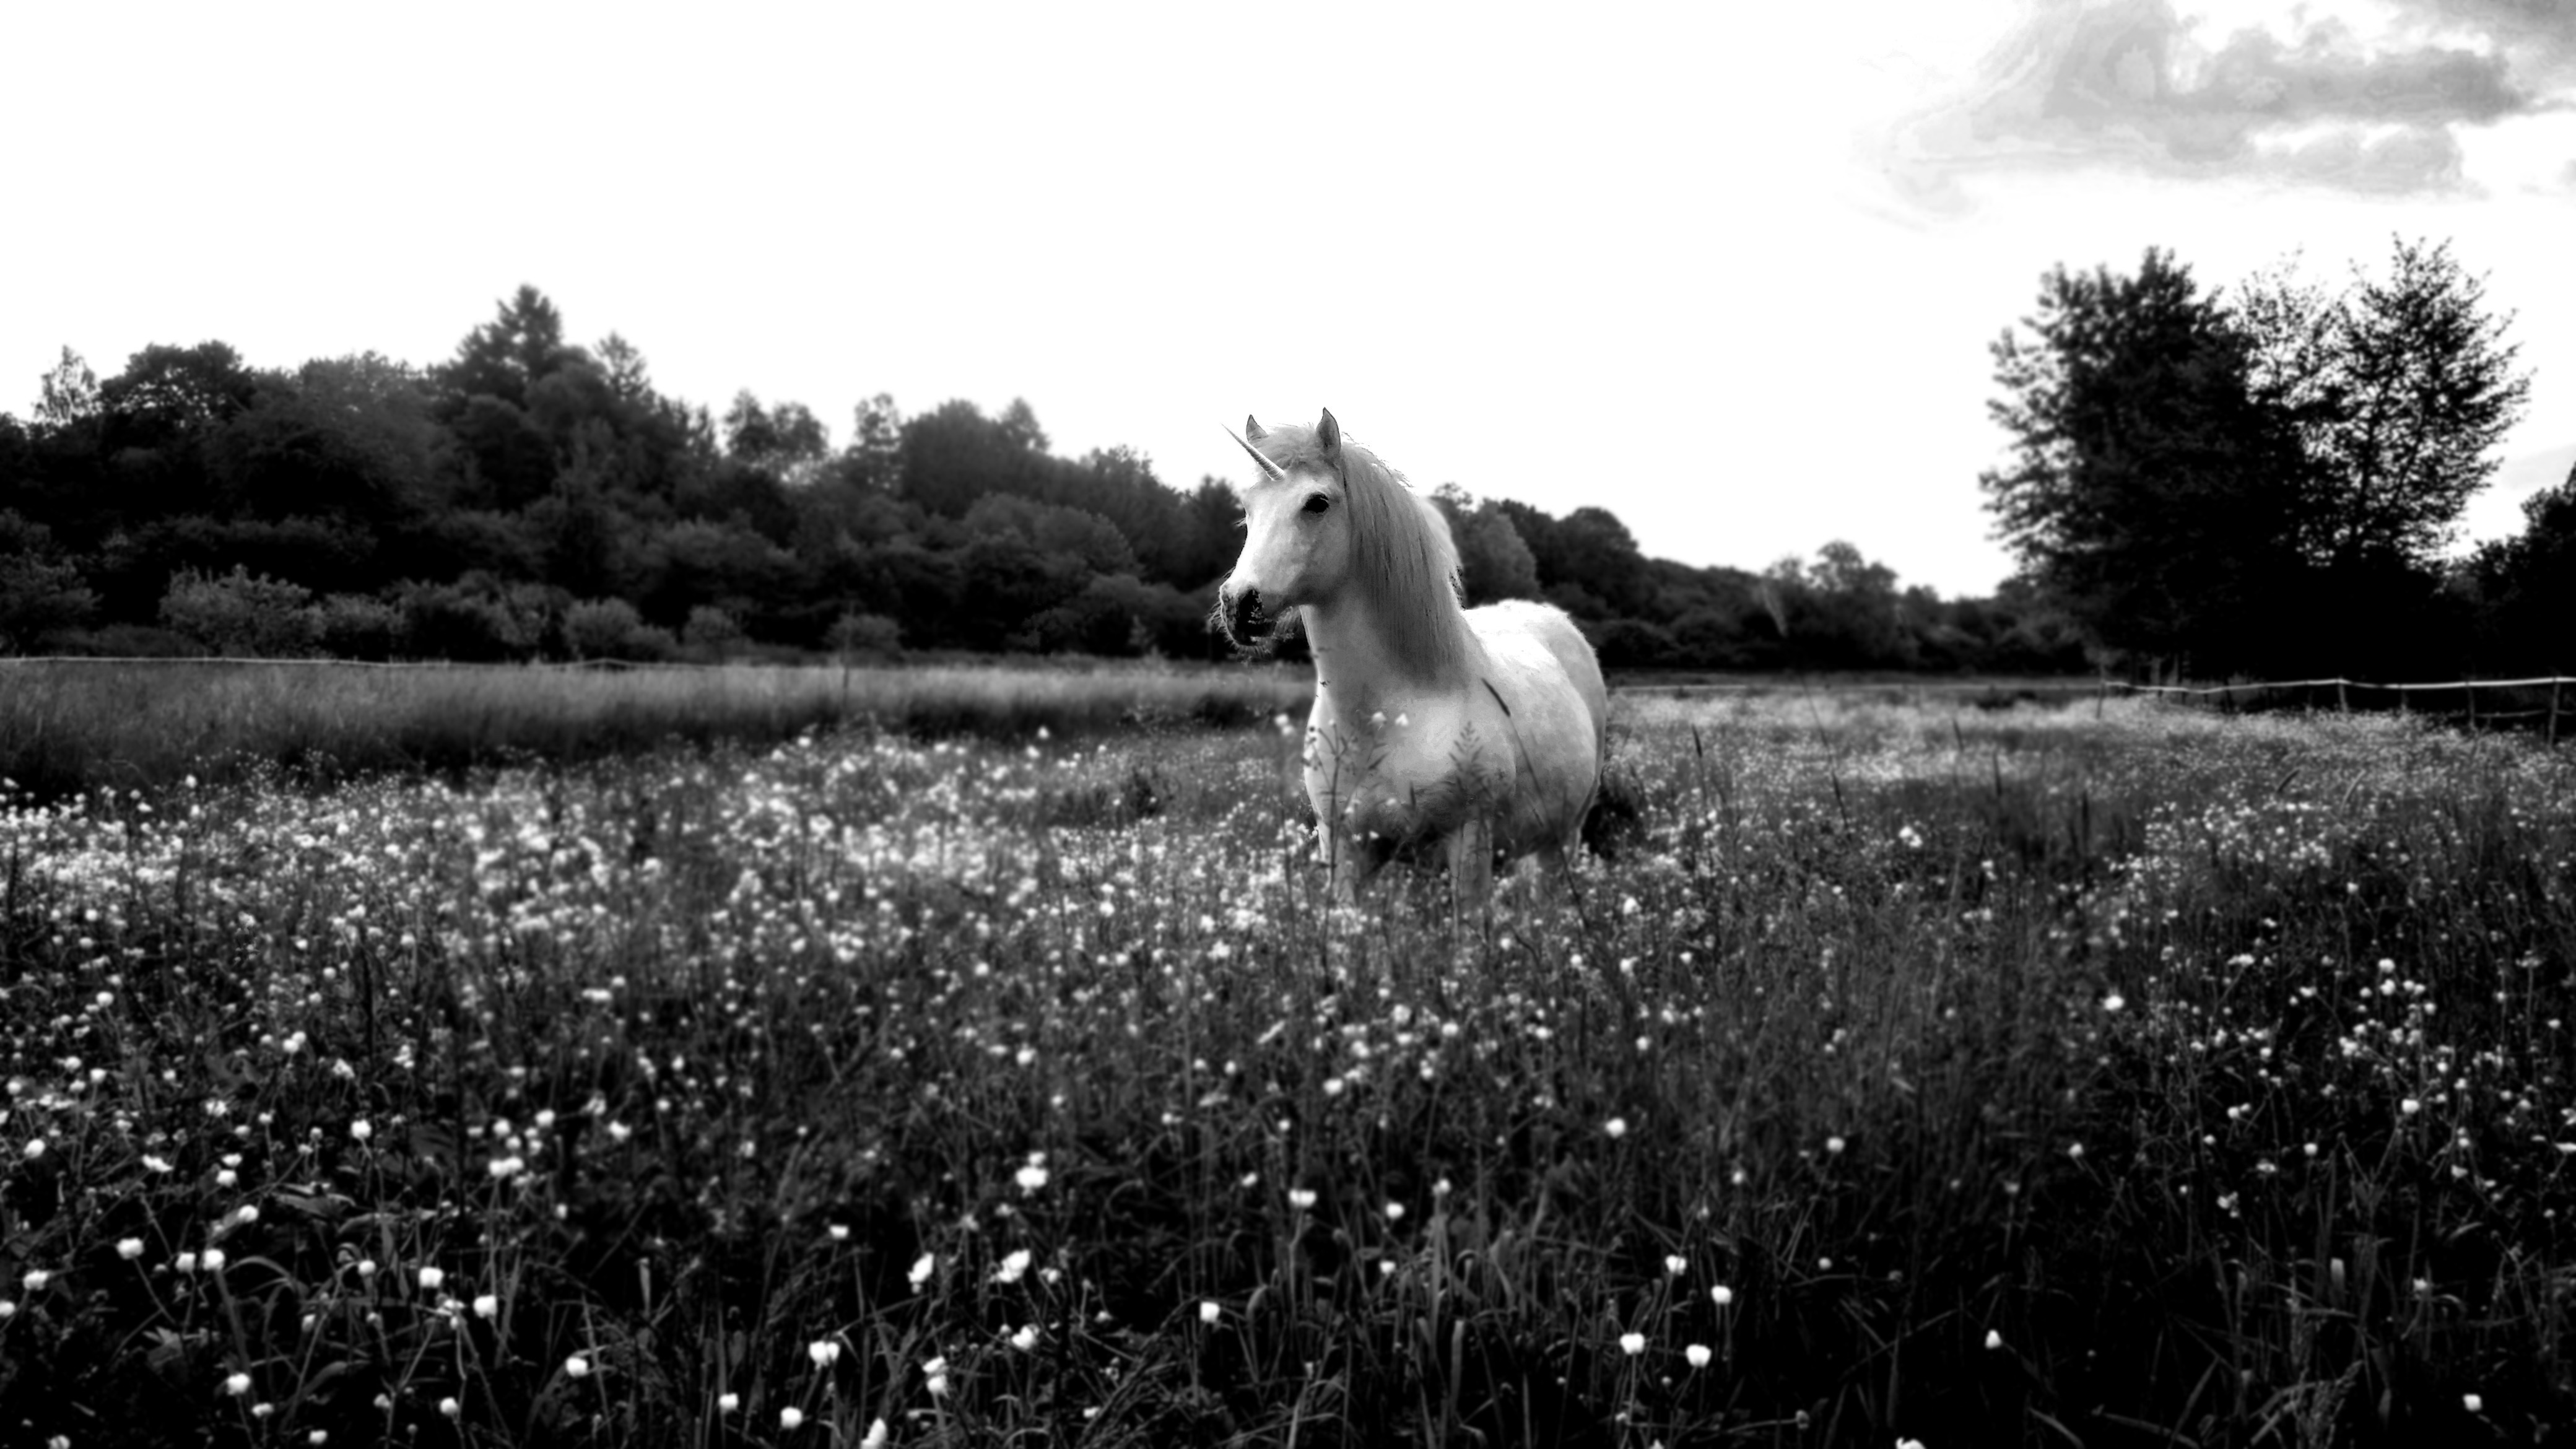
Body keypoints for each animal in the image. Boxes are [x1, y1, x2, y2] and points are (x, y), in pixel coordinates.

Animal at [1214, 408, 1608, 902]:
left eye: (1317, 503)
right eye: (1247, 508)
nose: (1239, 604)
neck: (1388, 715)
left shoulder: (1469, 841)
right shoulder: (1344, 848)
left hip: (1566, 837)